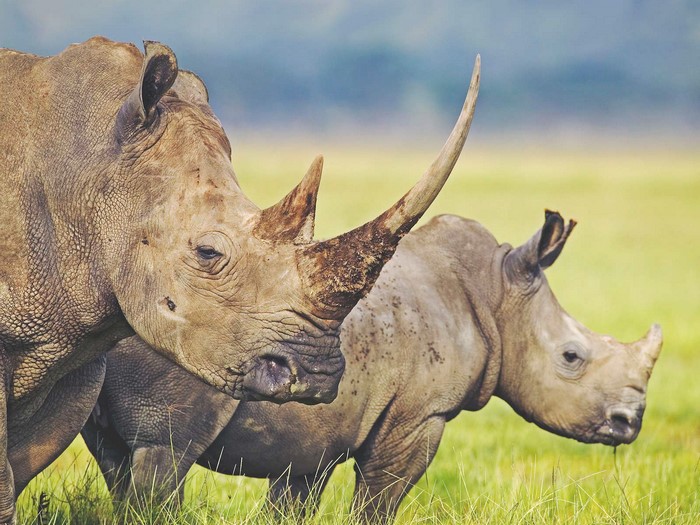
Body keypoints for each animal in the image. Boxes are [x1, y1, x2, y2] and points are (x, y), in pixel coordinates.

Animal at [83, 210, 662, 522]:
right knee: (165, 453)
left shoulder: (313, 436)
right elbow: (379, 502)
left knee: (116, 458)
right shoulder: (420, 415)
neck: (497, 294)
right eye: (571, 357)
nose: (629, 423)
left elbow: (292, 502)